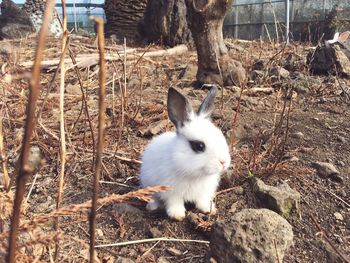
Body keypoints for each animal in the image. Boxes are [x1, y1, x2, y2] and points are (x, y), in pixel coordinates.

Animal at [138, 86, 231, 221]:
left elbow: (202, 200)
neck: (195, 175)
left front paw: (209, 209)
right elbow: (174, 203)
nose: (223, 162)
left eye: (221, 136)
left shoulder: (204, 192)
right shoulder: (171, 192)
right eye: (199, 146)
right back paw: (152, 206)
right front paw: (177, 215)